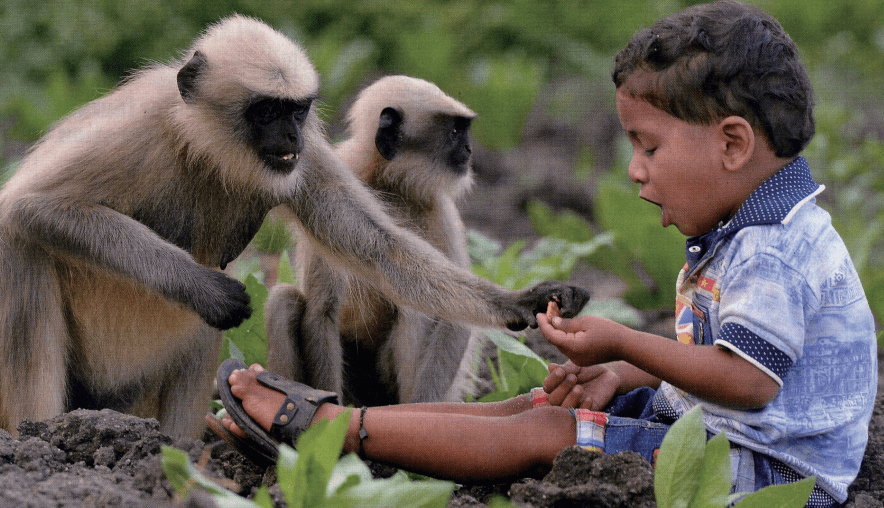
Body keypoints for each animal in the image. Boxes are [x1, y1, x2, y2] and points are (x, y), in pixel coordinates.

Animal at [268, 75, 484, 402]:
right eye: (456, 131)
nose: (469, 151)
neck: (386, 182)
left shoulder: (440, 210)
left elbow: (455, 314)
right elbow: (322, 309)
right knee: (284, 299)